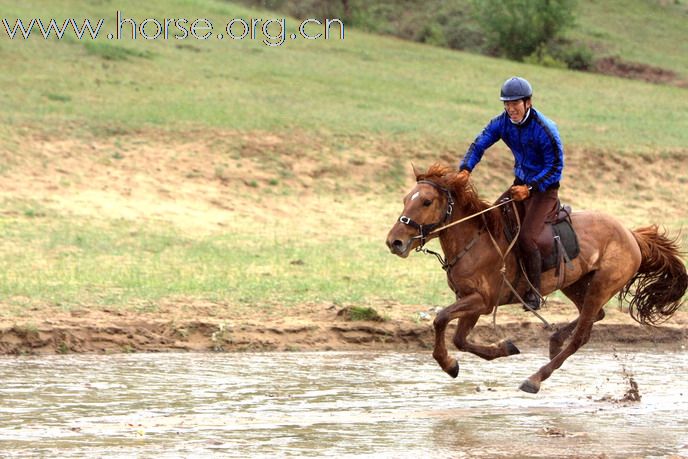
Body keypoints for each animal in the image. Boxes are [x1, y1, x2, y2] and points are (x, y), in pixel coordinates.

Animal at [384, 164, 684, 394]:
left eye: (426, 201)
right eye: (406, 199)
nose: (394, 242)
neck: (474, 240)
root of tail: (631, 235)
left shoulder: (482, 301)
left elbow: (441, 318)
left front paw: (448, 364)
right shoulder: (472, 300)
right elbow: (460, 338)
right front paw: (503, 348)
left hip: (601, 285)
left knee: (582, 335)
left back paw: (535, 378)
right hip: (576, 284)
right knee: (595, 316)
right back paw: (554, 341)